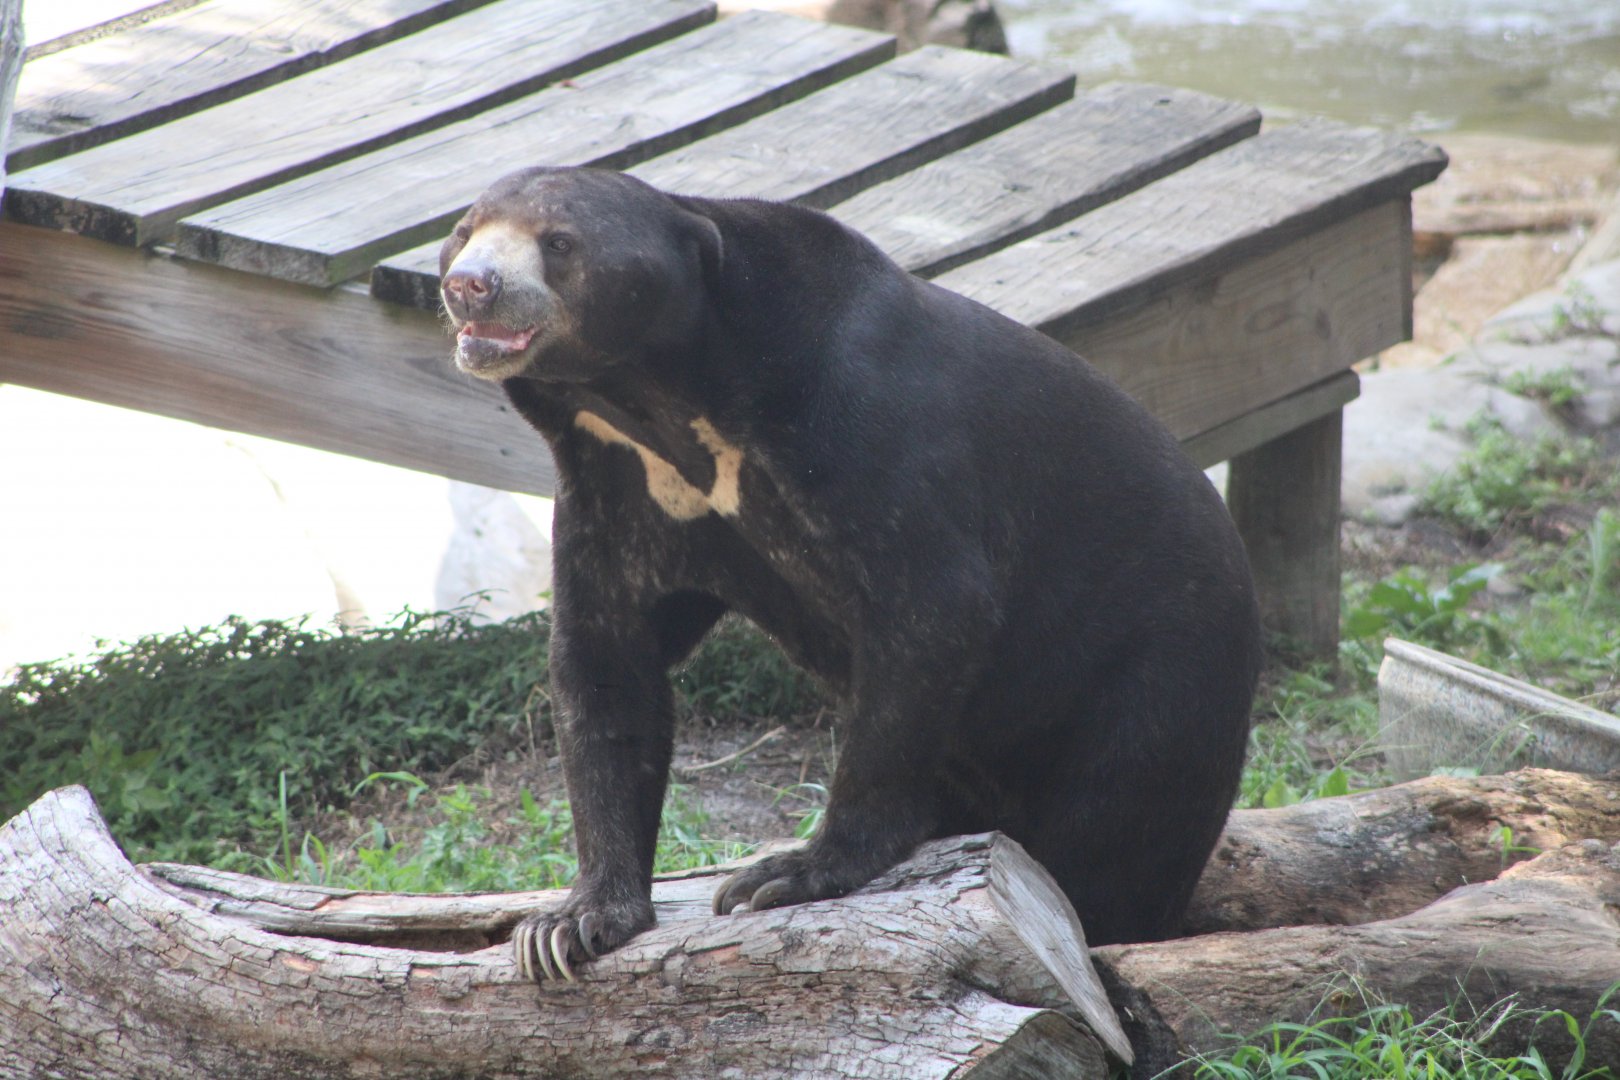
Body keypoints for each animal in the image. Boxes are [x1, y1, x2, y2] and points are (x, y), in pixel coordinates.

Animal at [437, 166, 1262, 983]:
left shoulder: (865, 429)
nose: (470, 286)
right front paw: (567, 925)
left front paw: (788, 873)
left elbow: (934, 609)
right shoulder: (616, 487)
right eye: (464, 231)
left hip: (1154, 689)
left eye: (559, 242)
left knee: (1110, 835)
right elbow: (607, 663)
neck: (665, 400)